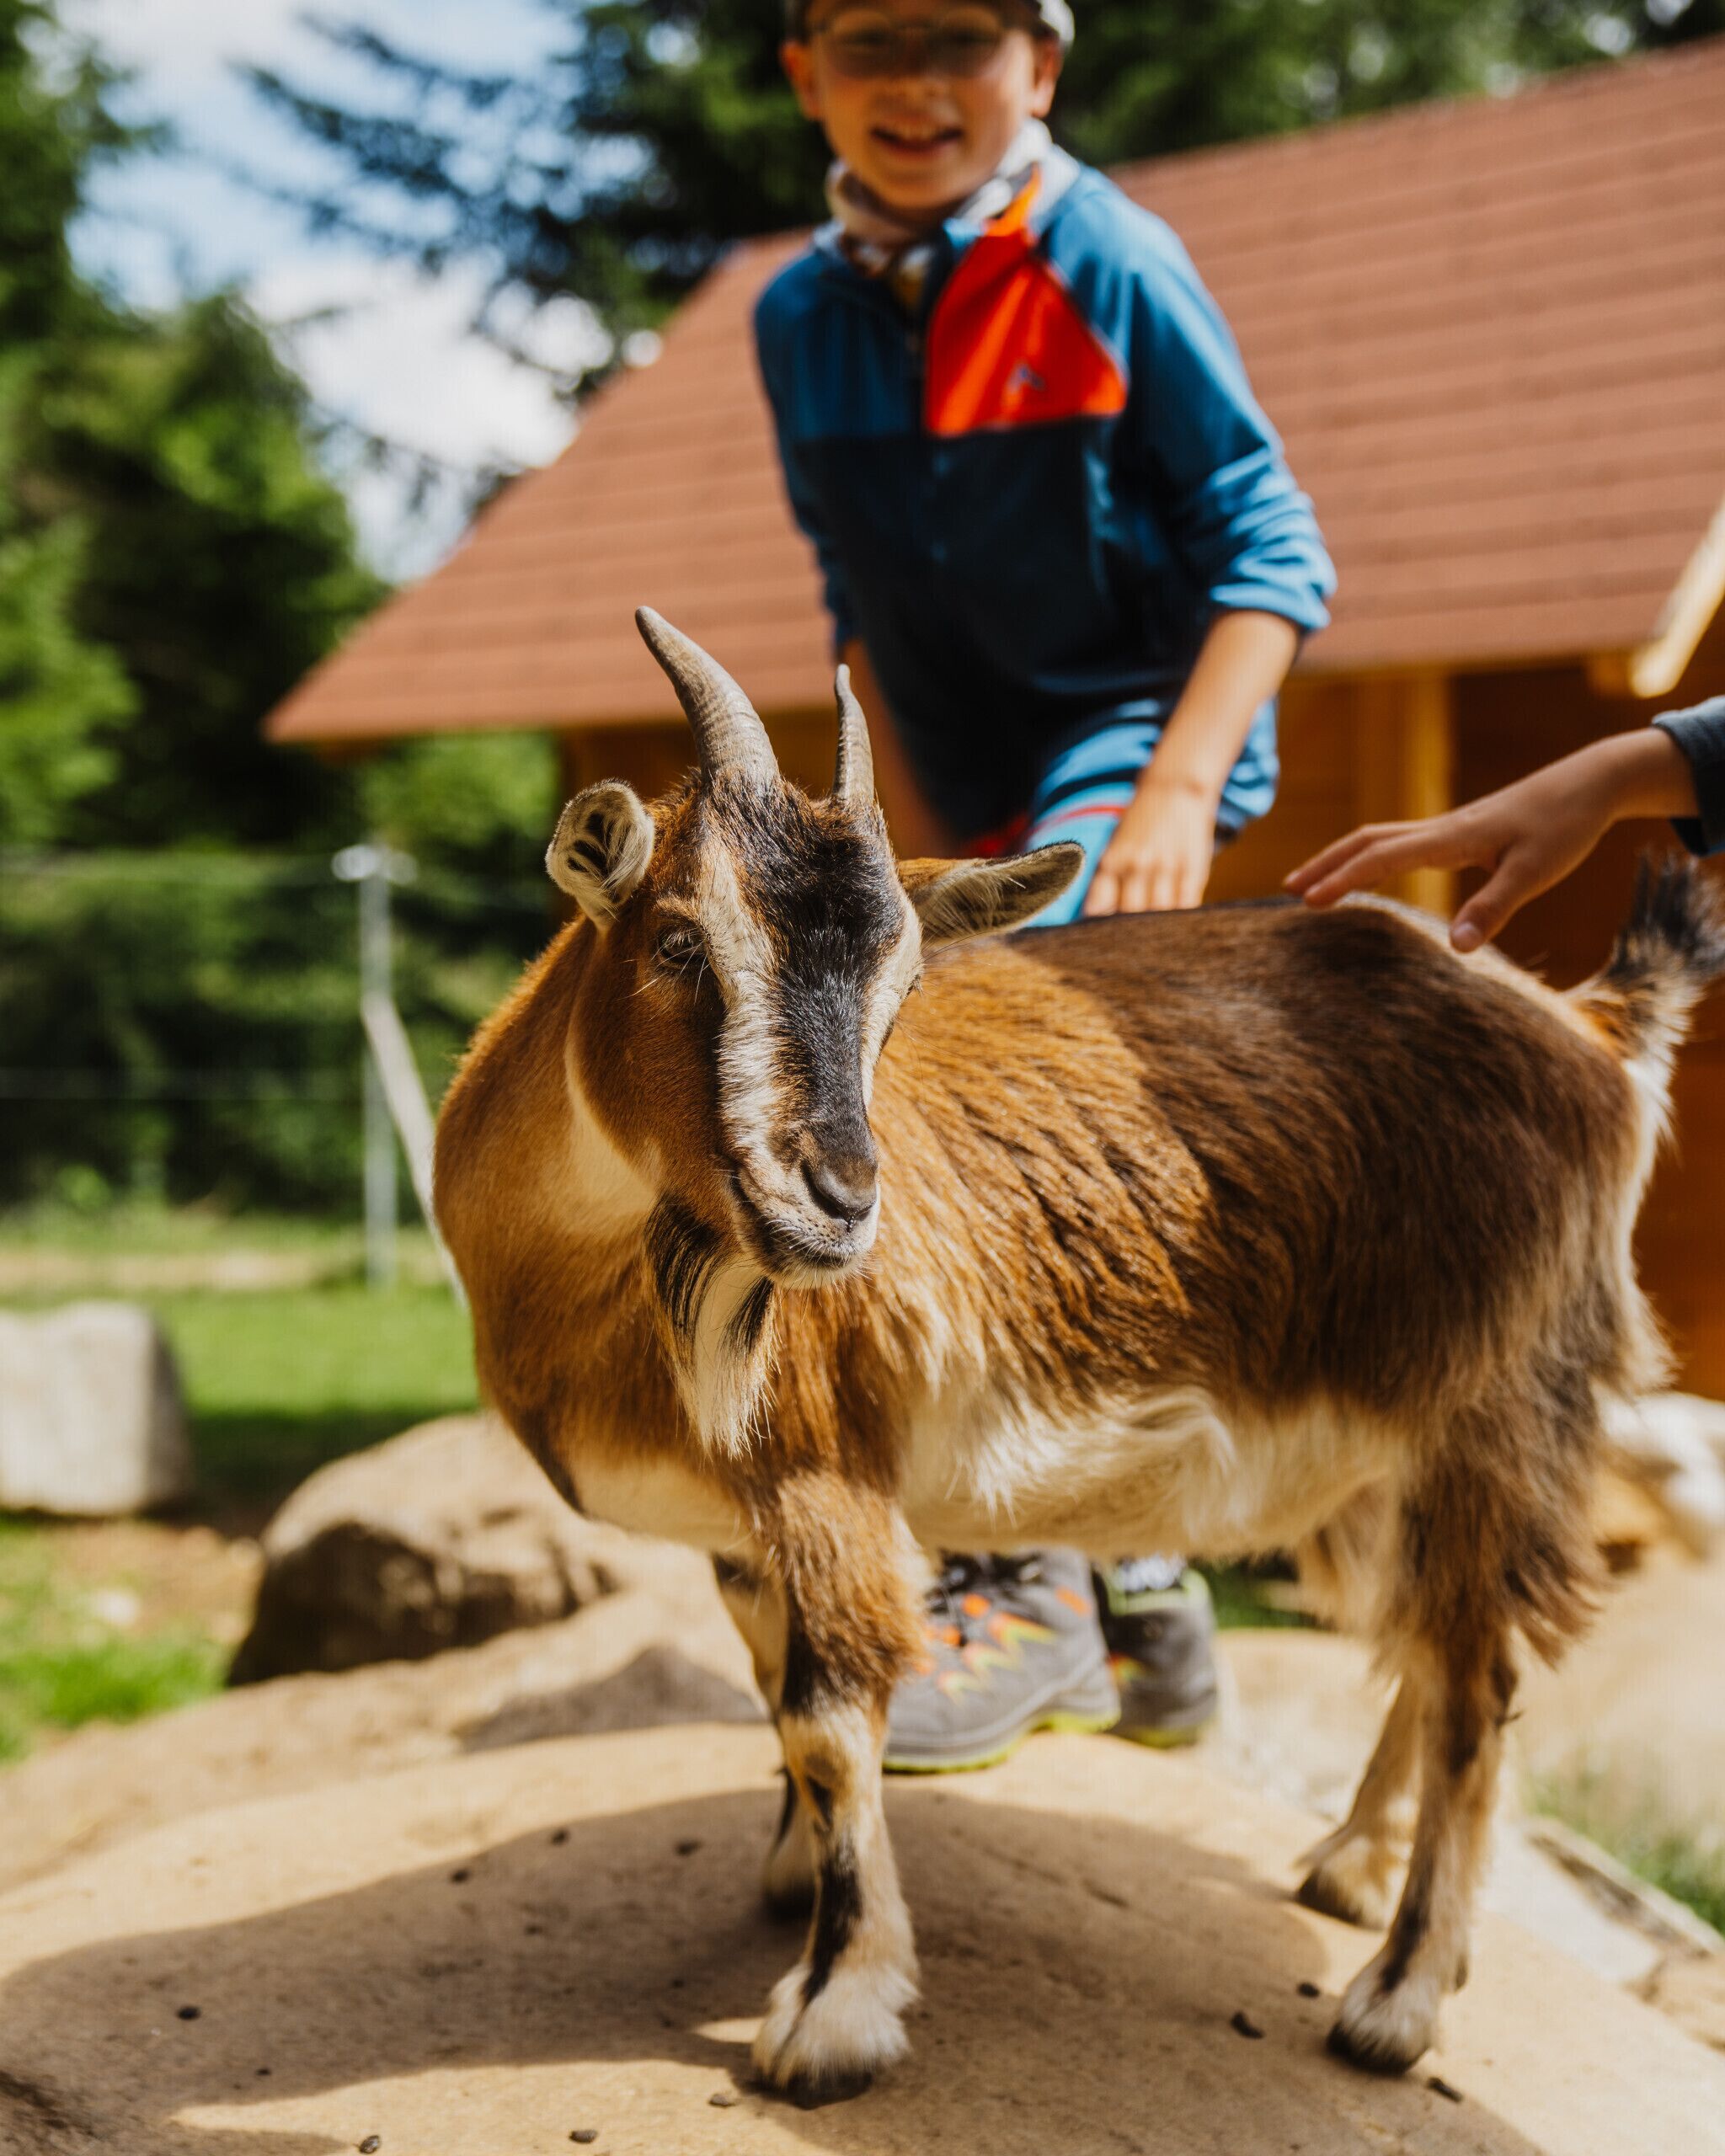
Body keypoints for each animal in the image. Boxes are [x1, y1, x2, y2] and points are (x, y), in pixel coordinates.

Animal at [434, 608, 1724, 2100]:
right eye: (682, 942)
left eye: (900, 986)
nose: (839, 1202)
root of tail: (1591, 1031)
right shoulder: (741, 1520)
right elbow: (771, 1695)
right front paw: (790, 1872)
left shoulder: (824, 1477)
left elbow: (827, 1716)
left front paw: (834, 2009)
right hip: (1382, 1459)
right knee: (1427, 1641)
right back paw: (1348, 1867)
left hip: (1500, 1405)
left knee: (1480, 1680)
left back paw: (1396, 1999)